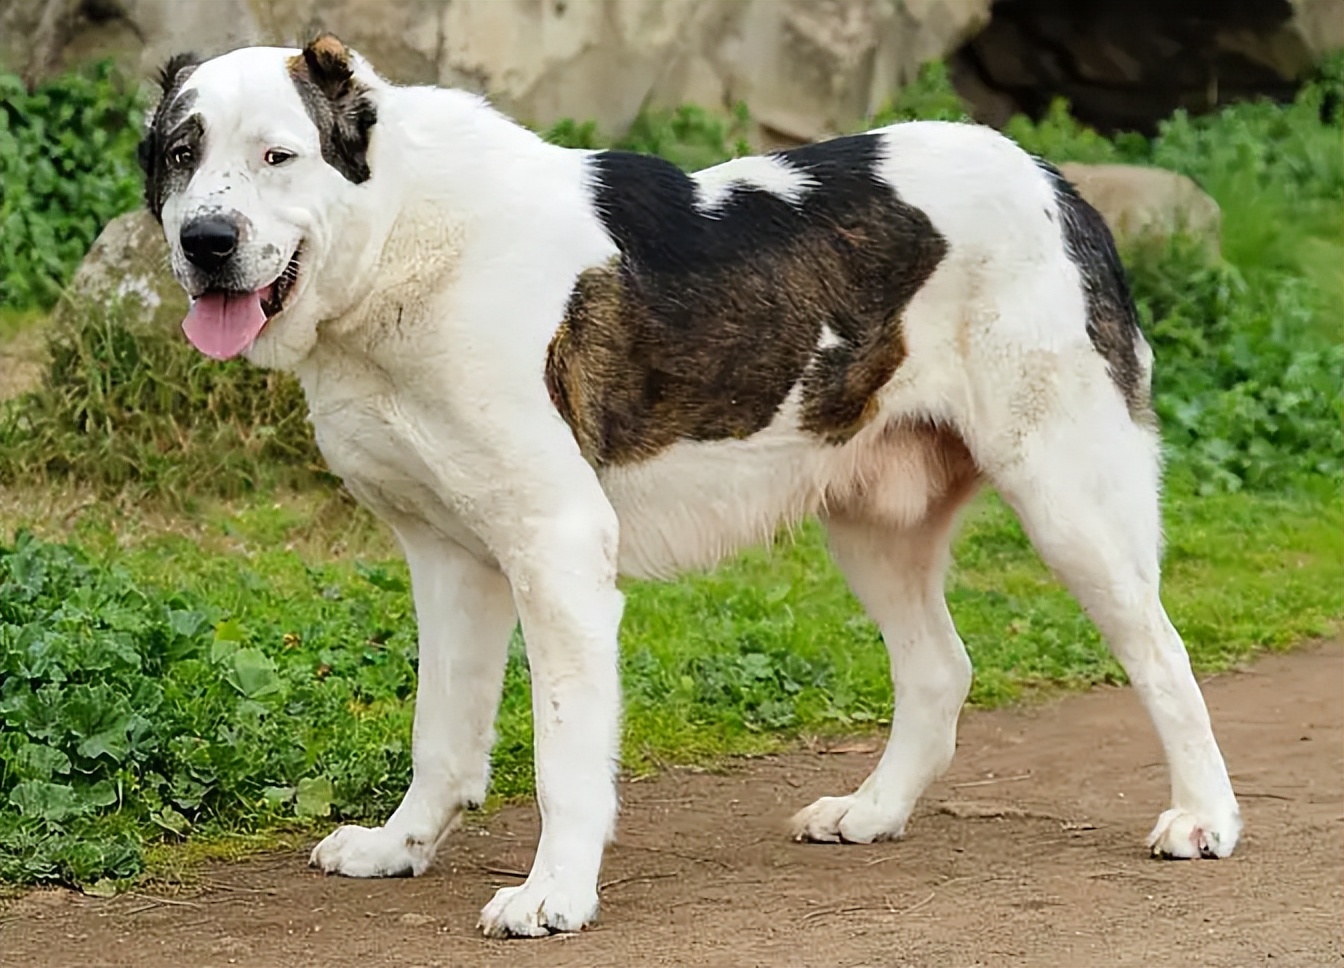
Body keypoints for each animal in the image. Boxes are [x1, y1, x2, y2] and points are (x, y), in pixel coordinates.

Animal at [136, 35, 1236, 935]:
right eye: (183, 154)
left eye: (279, 156)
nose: (206, 243)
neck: (403, 235)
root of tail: (1056, 180)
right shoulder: (450, 561)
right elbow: (440, 733)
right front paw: (400, 847)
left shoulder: (559, 547)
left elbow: (564, 755)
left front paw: (555, 895)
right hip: (873, 524)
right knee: (940, 668)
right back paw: (874, 812)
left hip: (1070, 500)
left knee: (1162, 653)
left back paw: (1204, 818)